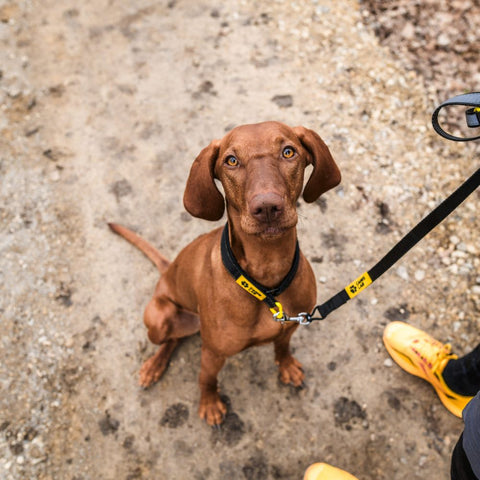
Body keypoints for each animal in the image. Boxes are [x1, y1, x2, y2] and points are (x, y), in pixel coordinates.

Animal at [109, 122, 342, 426]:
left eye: (288, 152)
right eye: (231, 160)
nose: (267, 207)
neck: (267, 279)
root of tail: (168, 268)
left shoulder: (290, 326)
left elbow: (282, 348)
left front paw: (287, 366)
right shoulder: (213, 352)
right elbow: (206, 380)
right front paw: (209, 404)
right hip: (160, 316)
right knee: (169, 338)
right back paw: (154, 365)